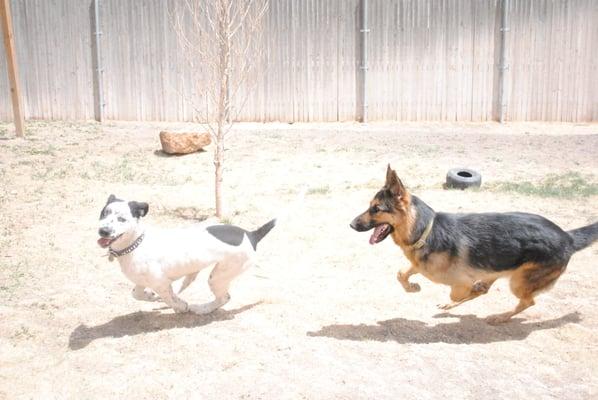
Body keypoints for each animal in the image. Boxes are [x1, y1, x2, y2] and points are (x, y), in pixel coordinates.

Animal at [352, 166, 598, 324]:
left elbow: (457, 292)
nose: (351, 224)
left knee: (528, 302)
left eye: (376, 209)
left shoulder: (459, 280)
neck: (426, 230)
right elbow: (401, 273)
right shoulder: (419, 265)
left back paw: (500, 317)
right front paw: (413, 287)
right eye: (370, 206)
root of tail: (567, 237)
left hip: (519, 282)